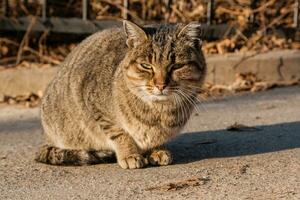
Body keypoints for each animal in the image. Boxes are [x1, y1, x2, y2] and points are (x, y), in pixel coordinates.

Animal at [35, 19, 206, 169]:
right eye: (146, 66)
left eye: (177, 66)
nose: (160, 85)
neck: (159, 110)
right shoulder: (98, 110)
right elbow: (120, 134)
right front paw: (129, 154)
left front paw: (157, 150)